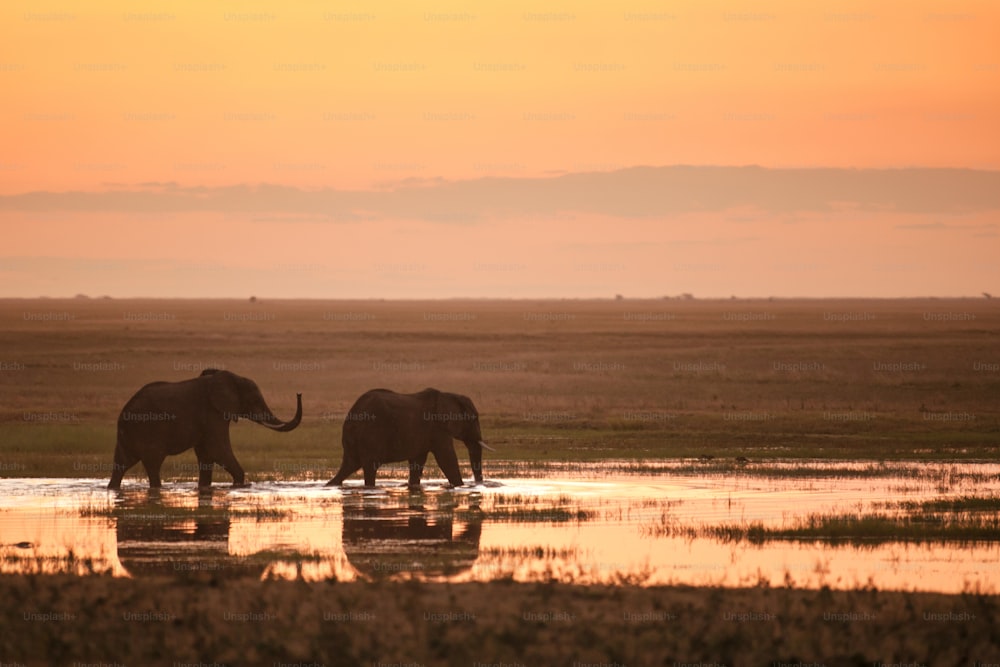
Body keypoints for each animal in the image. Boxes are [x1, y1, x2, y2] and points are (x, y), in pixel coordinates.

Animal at [107, 370, 300, 490]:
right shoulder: (213, 413)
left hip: (129, 433)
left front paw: (205, 488)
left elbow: (206, 454)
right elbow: (218, 450)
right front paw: (240, 485)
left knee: (122, 464)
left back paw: (112, 488)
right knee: (153, 464)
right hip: (147, 430)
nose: (299, 394)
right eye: (254, 400)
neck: (230, 377)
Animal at [328, 388, 492, 488]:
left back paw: (331, 485)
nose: (479, 484)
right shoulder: (438, 427)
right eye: (473, 419)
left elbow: (417, 462)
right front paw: (460, 486)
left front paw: (413, 487)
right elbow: (446, 458)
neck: (449, 395)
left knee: (350, 465)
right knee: (369, 467)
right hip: (371, 434)